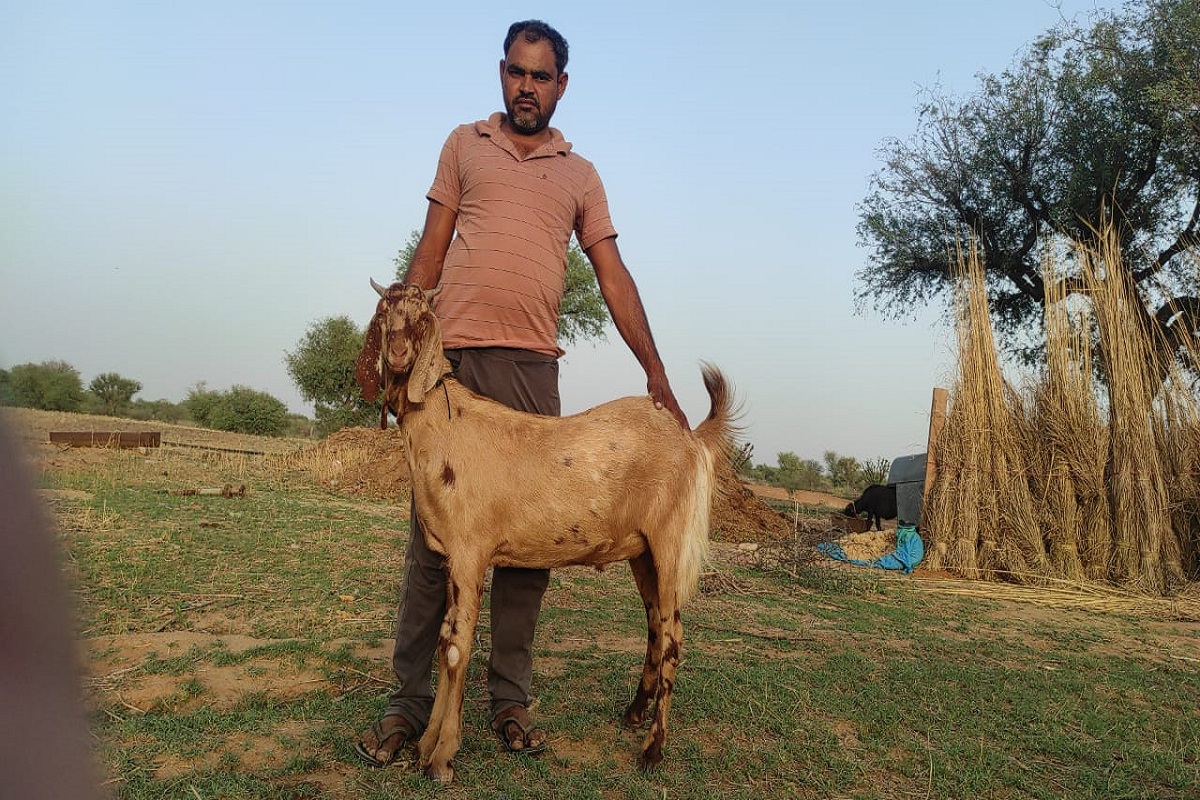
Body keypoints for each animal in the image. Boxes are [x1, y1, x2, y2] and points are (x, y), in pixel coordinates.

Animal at [355, 280, 737, 783]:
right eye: (383, 313)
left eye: (422, 318)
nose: (398, 353)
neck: (445, 425)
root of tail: (691, 438)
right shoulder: (449, 555)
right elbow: (442, 641)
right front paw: (424, 747)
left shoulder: (470, 551)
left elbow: (456, 648)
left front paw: (442, 758)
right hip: (643, 552)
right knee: (656, 624)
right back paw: (634, 713)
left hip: (671, 541)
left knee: (674, 636)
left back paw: (653, 750)